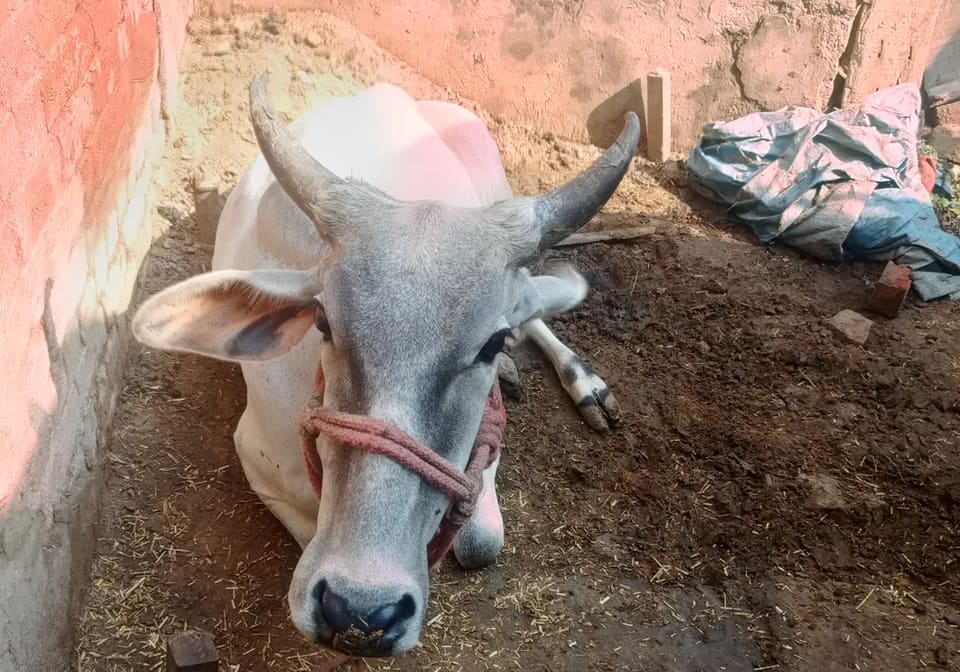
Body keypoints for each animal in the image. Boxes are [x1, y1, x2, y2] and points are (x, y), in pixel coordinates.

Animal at [132, 73, 639, 657]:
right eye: (323, 320)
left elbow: (482, 540)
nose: (361, 606)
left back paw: (585, 384)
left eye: (490, 343)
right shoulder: (258, 461)